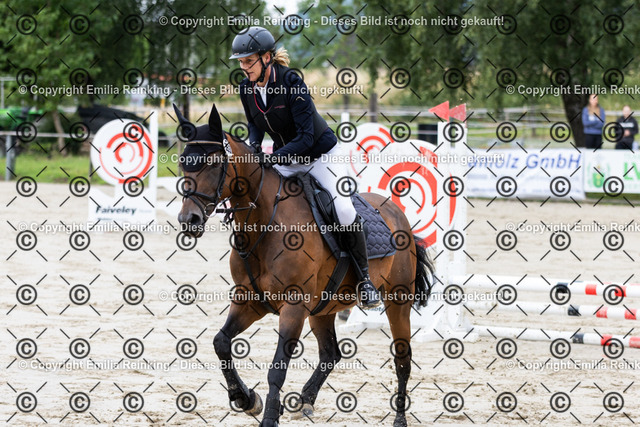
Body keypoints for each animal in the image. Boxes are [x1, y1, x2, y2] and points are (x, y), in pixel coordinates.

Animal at [176, 104, 434, 427]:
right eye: (183, 164)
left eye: (211, 164)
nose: (189, 220)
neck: (264, 223)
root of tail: (398, 215)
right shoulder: (250, 301)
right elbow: (221, 342)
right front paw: (246, 399)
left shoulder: (294, 306)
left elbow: (277, 368)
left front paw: (268, 417)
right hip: (324, 307)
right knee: (330, 353)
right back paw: (305, 401)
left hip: (397, 300)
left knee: (402, 358)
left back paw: (399, 418)